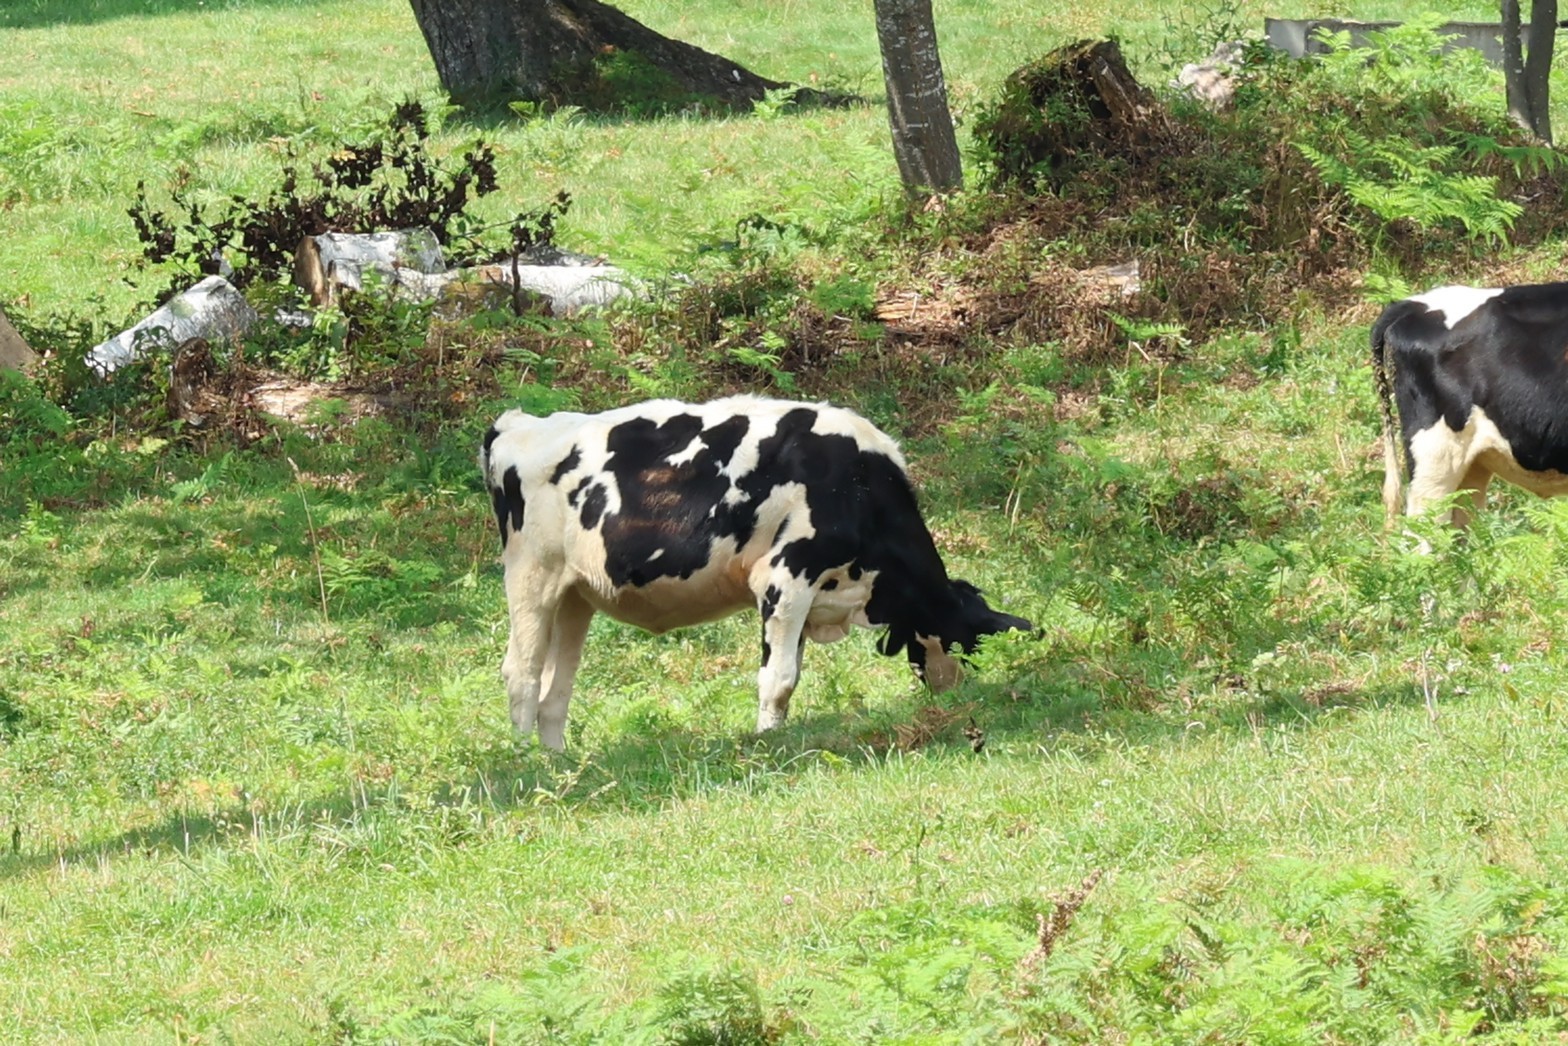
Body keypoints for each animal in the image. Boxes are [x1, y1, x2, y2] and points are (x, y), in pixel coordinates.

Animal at [479, 394, 1033, 750]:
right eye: (969, 643)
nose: (958, 705)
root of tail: (516, 424)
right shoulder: (785, 578)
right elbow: (780, 677)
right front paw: (769, 741)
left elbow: (791, 673)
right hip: (531, 576)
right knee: (521, 672)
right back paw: (524, 760)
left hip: (574, 594)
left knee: (557, 685)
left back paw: (556, 760)